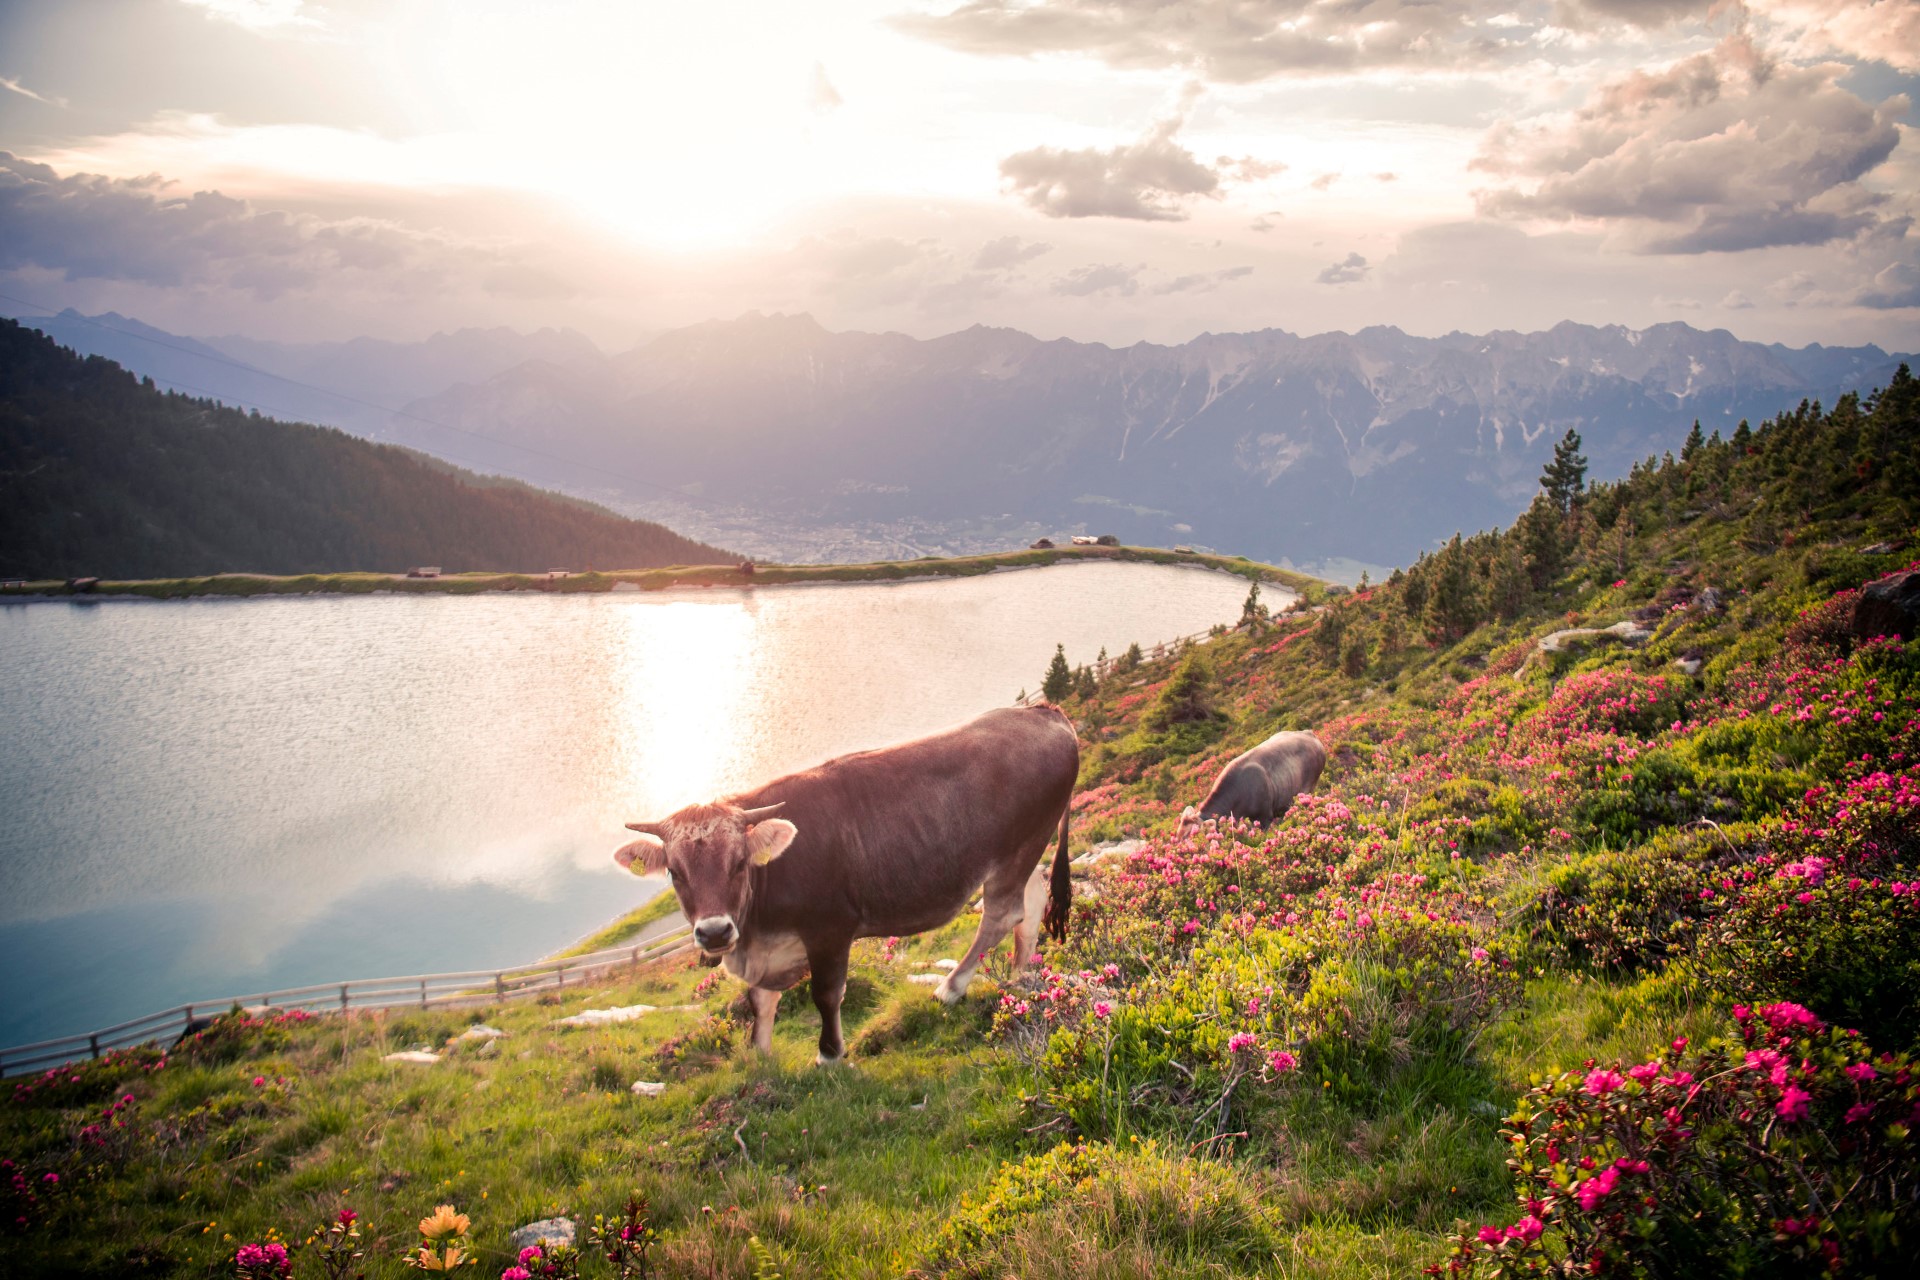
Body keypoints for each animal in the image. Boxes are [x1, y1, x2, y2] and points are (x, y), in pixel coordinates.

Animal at [610, 706, 1075, 1066]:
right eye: (674, 872)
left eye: (739, 863)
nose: (714, 932)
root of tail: (1044, 714)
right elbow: (760, 1001)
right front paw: (760, 1054)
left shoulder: (830, 927)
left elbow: (826, 994)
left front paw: (829, 1053)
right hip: (1025, 850)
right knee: (1032, 901)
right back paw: (1018, 976)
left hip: (1016, 851)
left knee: (1001, 915)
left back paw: (950, 989)